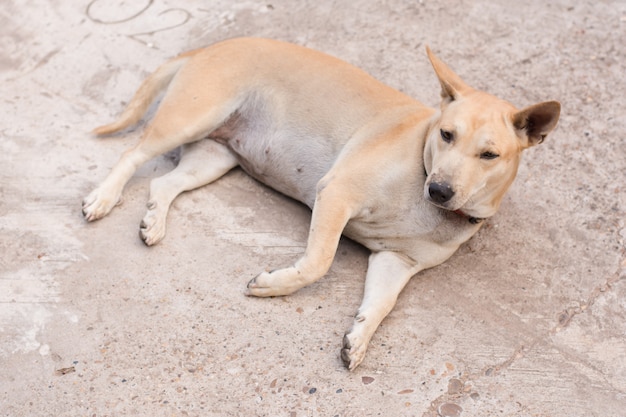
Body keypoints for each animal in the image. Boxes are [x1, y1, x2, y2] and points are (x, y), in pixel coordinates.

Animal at [81, 38, 556, 370]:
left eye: (489, 155)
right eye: (446, 135)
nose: (439, 190)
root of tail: (217, 44)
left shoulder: (396, 261)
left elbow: (382, 304)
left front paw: (360, 337)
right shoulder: (336, 195)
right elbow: (318, 262)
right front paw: (275, 284)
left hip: (215, 157)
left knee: (163, 184)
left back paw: (154, 221)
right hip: (189, 119)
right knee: (132, 156)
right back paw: (104, 196)